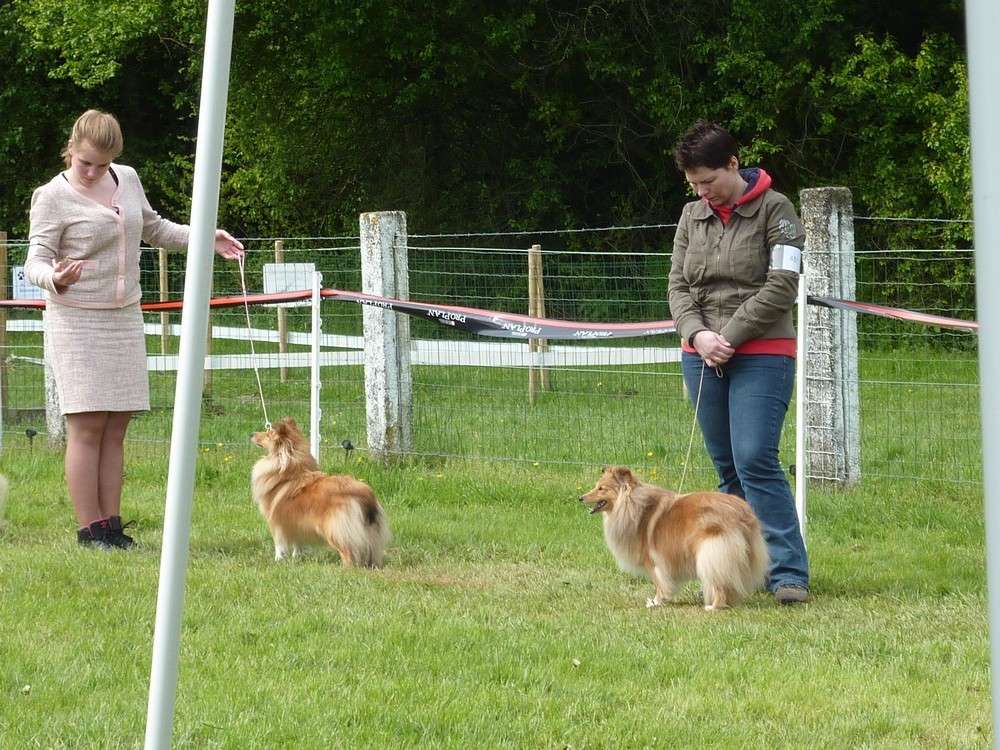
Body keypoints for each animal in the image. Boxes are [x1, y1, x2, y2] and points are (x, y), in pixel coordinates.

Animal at [250, 418, 390, 568]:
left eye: (268, 433)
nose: (251, 434)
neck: (290, 469)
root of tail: (366, 495)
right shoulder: (296, 522)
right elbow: (297, 542)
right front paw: (296, 557)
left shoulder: (276, 521)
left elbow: (279, 544)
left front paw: (278, 560)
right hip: (371, 533)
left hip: (335, 529)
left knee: (348, 552)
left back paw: (344, 568)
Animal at [580, 468, 764, 612]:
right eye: (596, 486)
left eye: (601, 488)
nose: (580, 498)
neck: (632, 506)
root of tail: (743, 513)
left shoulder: (653, 561)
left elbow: (659, 583)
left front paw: (656, 602)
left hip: (711, 552)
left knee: (719, 581)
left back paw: (713, 606)